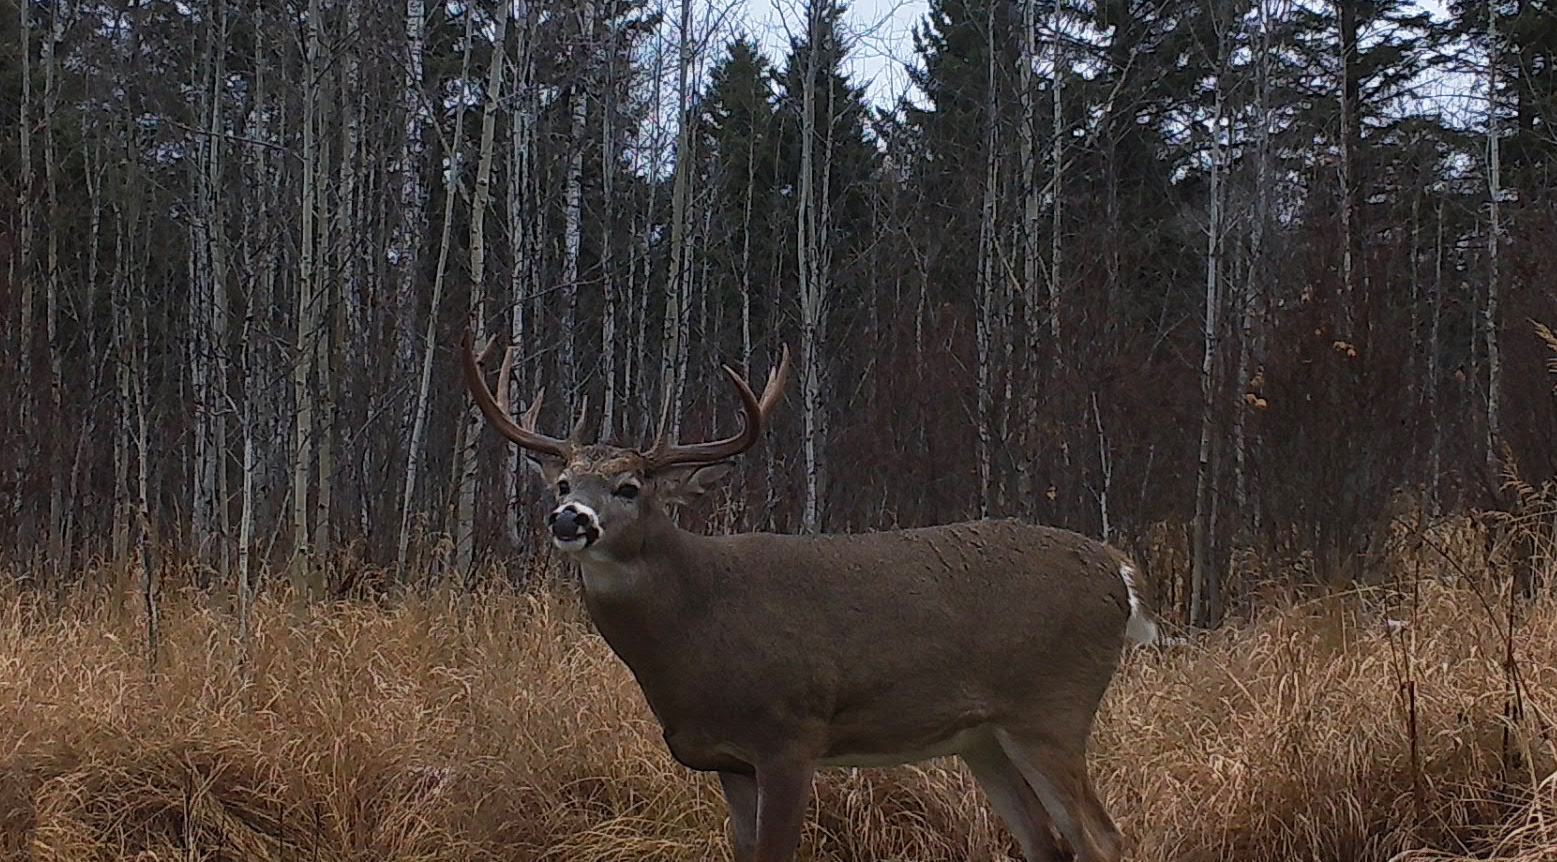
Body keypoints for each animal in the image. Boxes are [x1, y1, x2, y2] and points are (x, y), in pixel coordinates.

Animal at [460, 331, 1158, 862]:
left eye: (629, 487)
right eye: (564, 483)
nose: (570, 519)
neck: (696, 625)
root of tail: (1118, 571)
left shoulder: (791, 734)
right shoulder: (729, 759)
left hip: (1052, 708)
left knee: (1101, 837)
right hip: (983, 738)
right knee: (1048, 844)